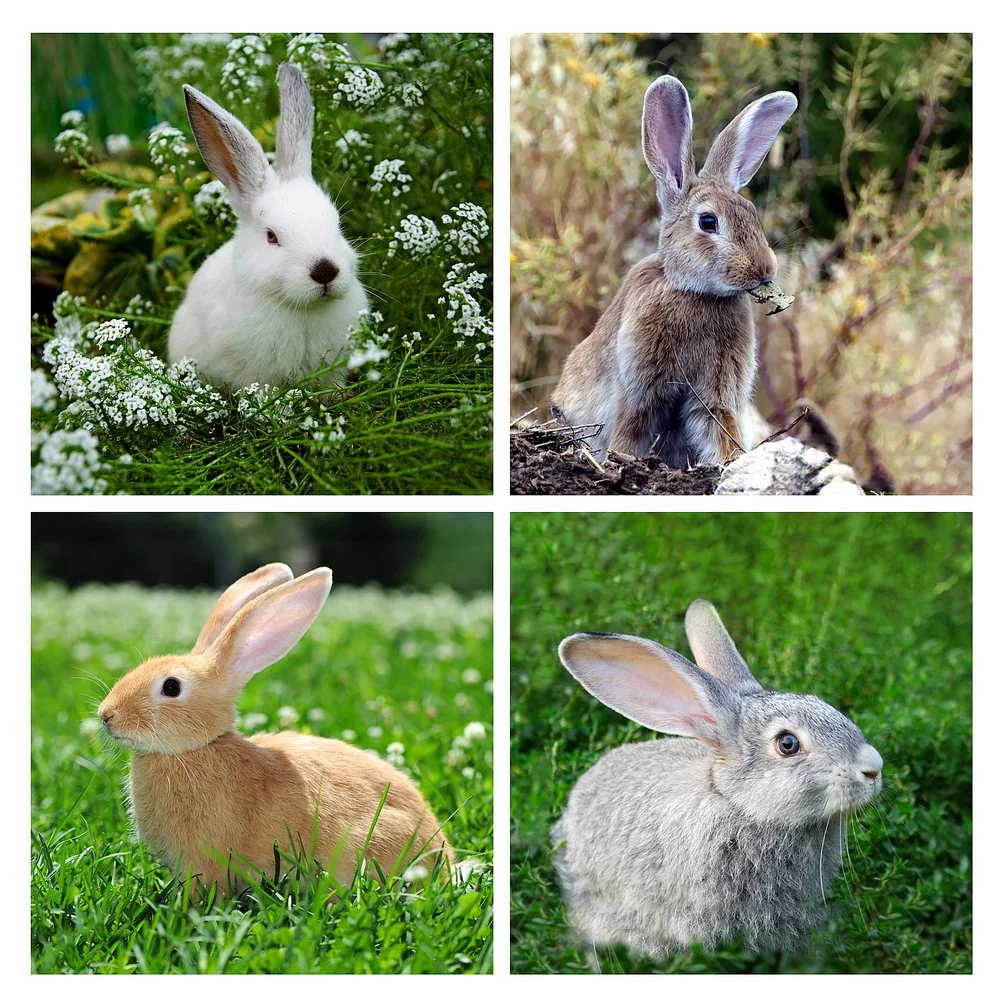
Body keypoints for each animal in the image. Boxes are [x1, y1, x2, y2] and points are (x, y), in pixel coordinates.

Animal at [550, 76, 798, 466]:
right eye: (708, 222)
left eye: (752, 213)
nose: (764, 269)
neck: (694, 293)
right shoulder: (641, 388)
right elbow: (632, 427)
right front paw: (621, 460)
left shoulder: (716, 392)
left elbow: (720, 426)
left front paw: (732, 461)